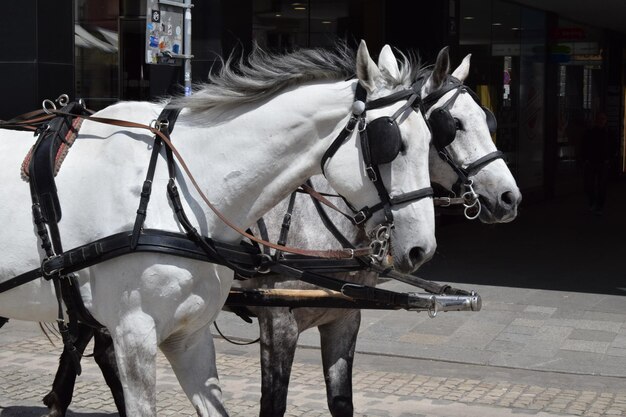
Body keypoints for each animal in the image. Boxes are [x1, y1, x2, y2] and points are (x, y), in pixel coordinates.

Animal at [0, 39, 436, 416]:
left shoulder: (191, 335)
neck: (174, 190)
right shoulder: (136, 332)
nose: (423, 249)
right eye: (390, 142)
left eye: (434, 137)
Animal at [239, 45, 520, 416]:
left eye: (487, 119)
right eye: (452, 125)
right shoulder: (278, 325)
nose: (509, 197)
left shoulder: (344, 318)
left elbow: (341, 400)